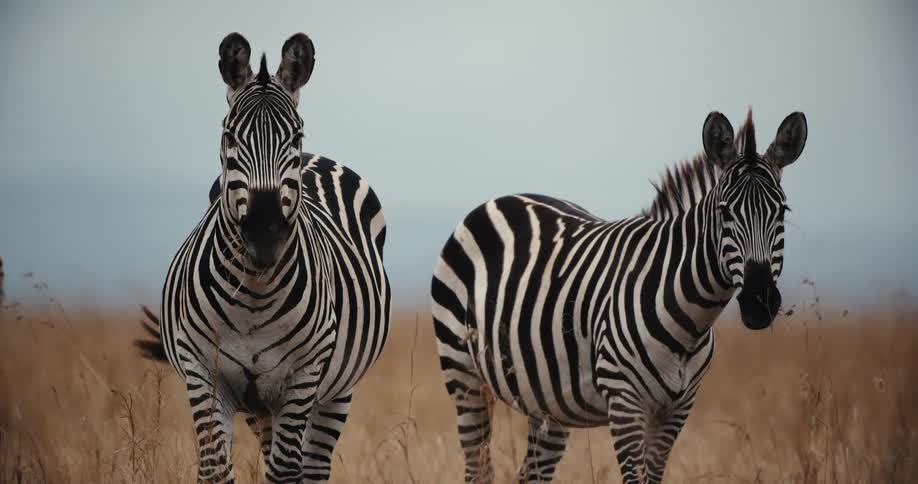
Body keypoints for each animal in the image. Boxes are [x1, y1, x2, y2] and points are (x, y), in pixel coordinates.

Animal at [135, 32, 391, 483]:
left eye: (296, 136)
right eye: (229, 136)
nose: (264, 228)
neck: (254, 295)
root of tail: (318, 159)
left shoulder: (303, 376)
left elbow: (288, 472)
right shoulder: (203, 372)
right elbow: (215, 469)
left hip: (336, 388)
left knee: (310, 465)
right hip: (259, 404)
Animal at [430, 110, 807, 483]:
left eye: (782, 212)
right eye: (725, 212)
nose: (759, 302)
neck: (689, 320)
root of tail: (500, 199)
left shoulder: (677, 409)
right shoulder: (625, 403)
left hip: (548, 400)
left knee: (531, 474)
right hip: (464, 376)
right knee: (477, 468)